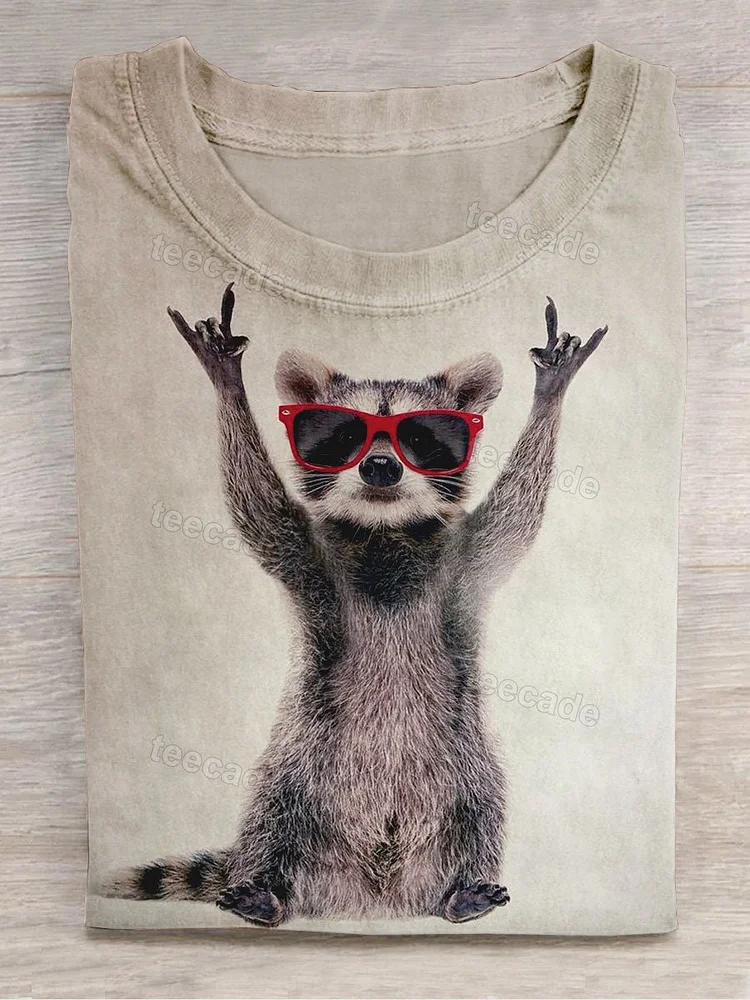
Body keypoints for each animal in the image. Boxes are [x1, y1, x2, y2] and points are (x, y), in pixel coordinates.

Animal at [107, 285, 606, 926]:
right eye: (343, 436)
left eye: (422, 438)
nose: (380, 466)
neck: (384, 533)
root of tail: (375, 895)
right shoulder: (310, 558)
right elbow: (258, 510)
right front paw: (227, 382)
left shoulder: (465, 561)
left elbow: (516, 516)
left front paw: (550, 392)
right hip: (301, 762)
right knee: (271, 812)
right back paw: (268, 890)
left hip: (463, 759)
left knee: (482, 806)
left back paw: (460, 891)